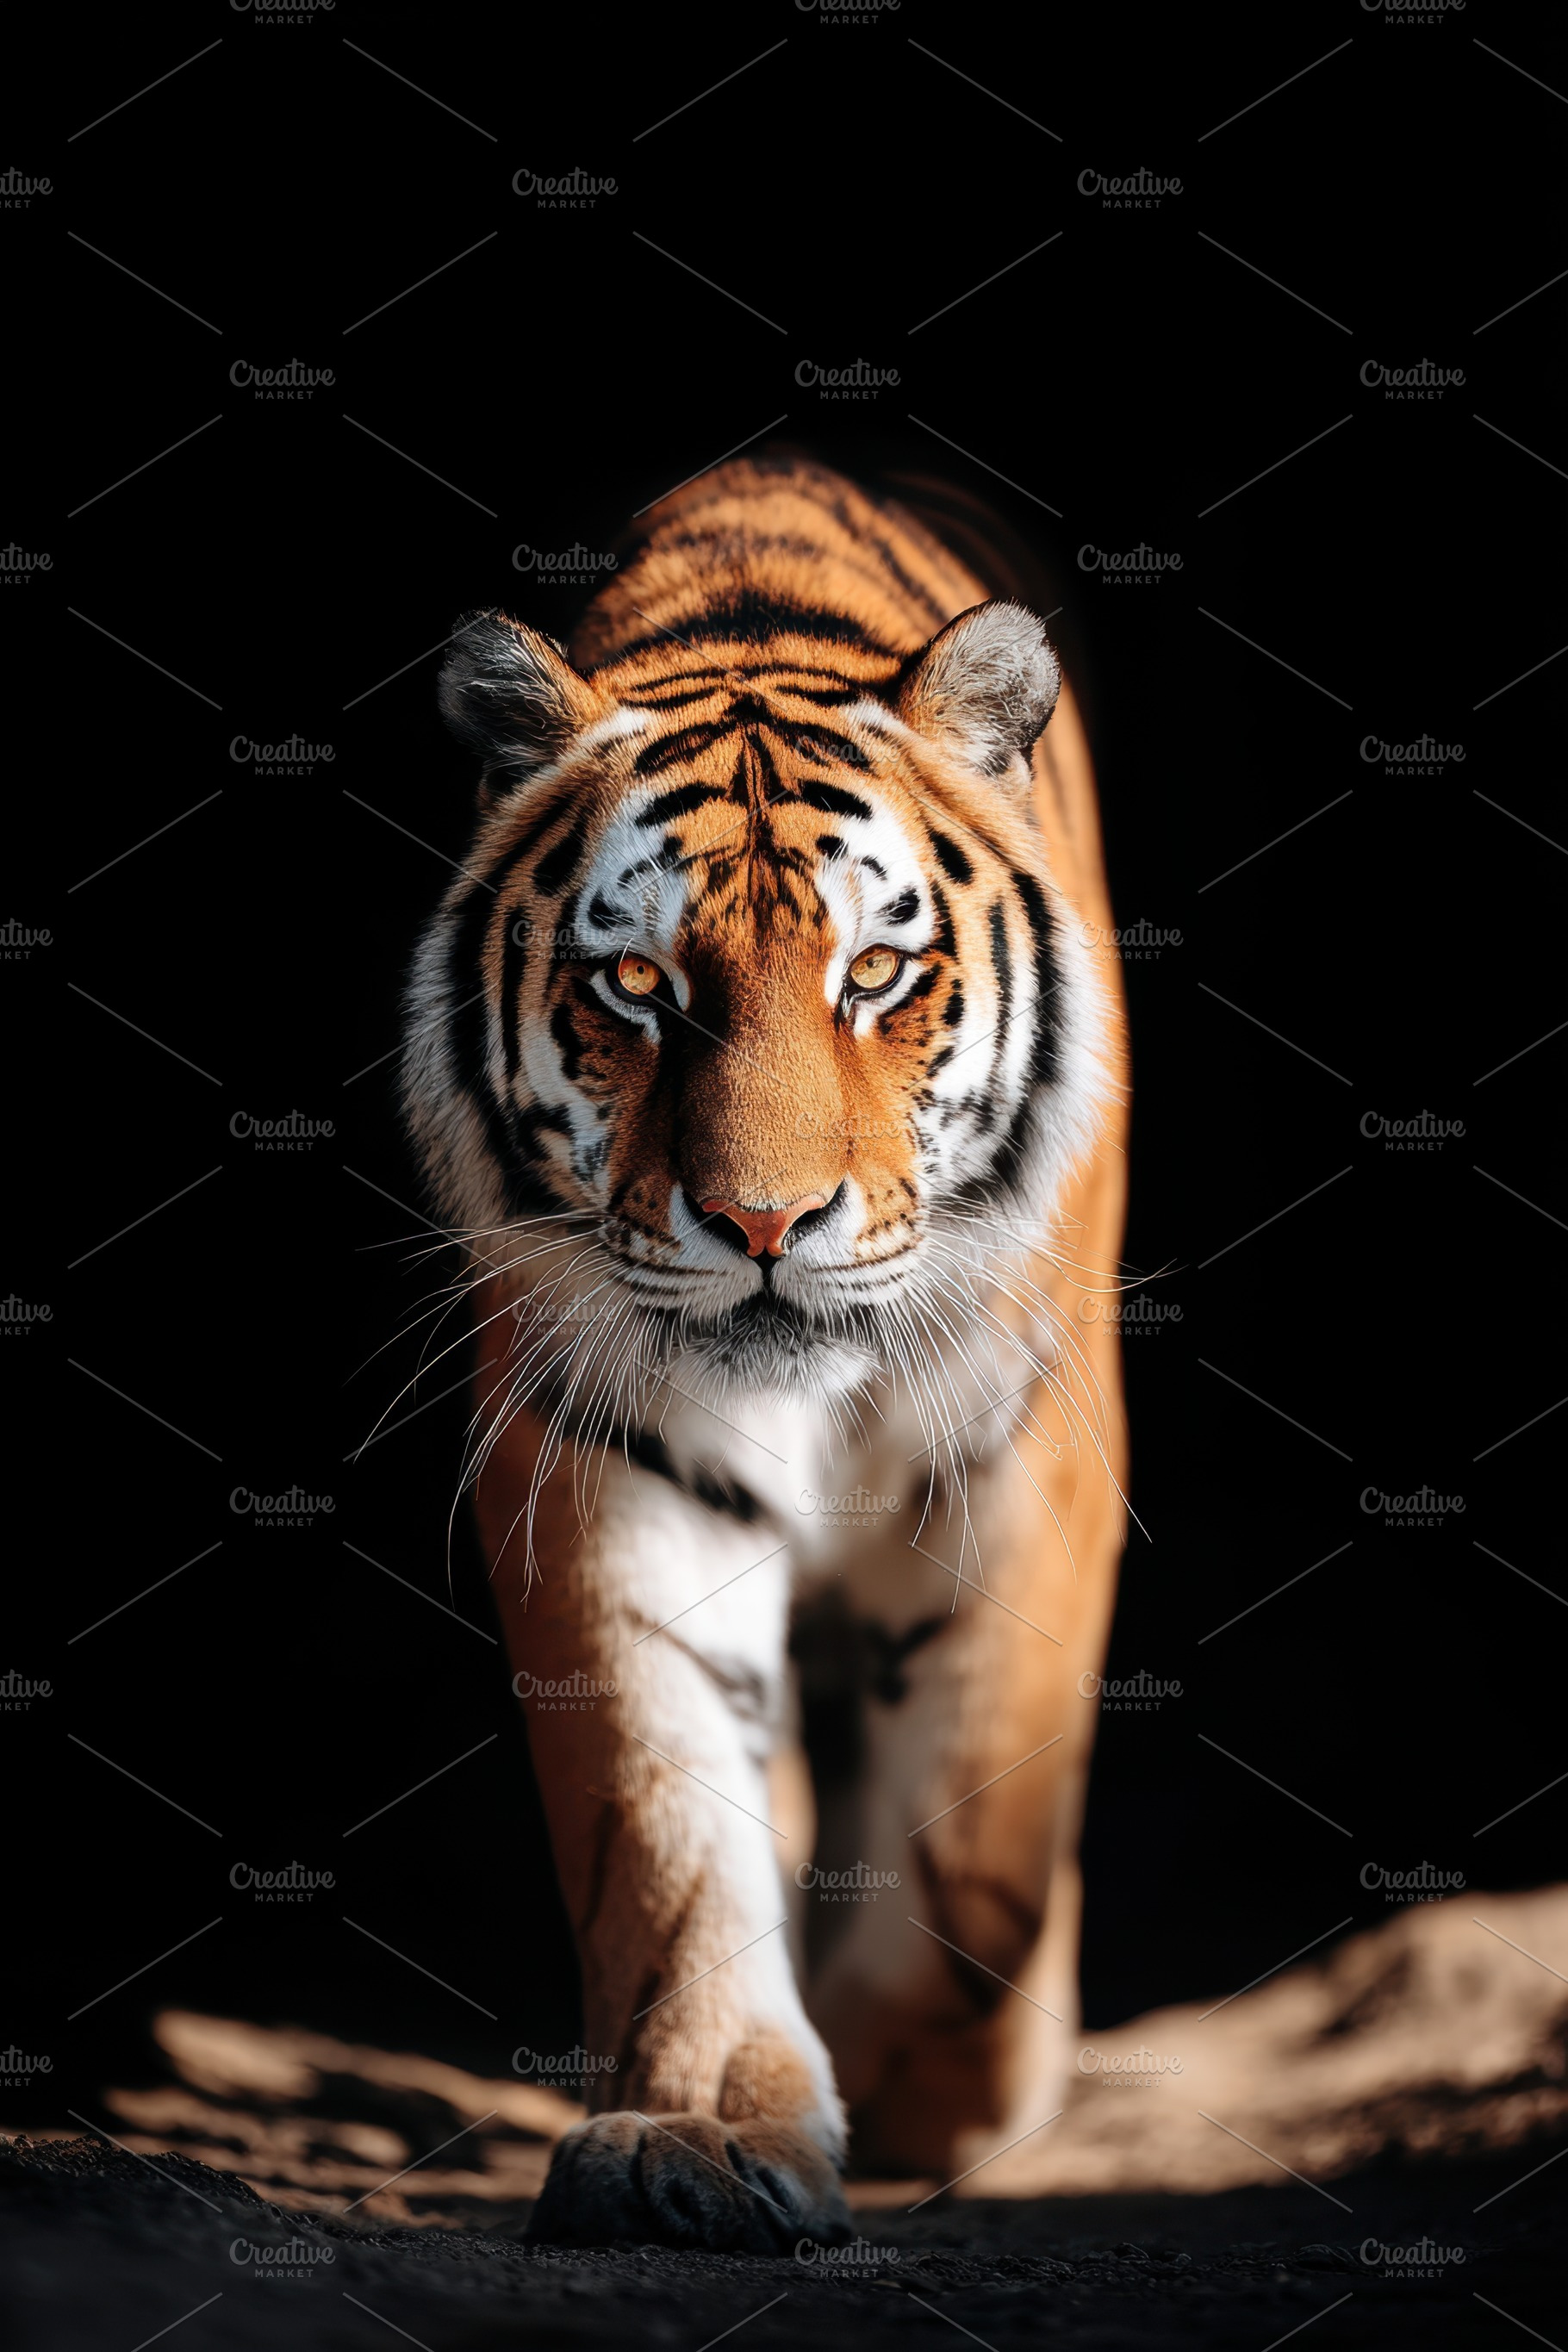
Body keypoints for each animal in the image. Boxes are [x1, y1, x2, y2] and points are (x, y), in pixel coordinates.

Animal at [401, 453, 1130, 2249]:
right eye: (636, 983)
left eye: (874, 970)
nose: (762, 1220)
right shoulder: (598, 1449)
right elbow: (664, 1822)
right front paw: (707, 2128)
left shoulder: (1025, 1460)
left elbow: (975, 1842)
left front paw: (928, 2092)